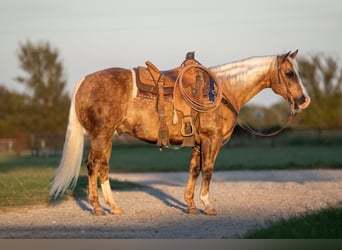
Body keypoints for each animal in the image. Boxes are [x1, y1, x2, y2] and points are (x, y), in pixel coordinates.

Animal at [50, 50, 310, 215]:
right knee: (94, 165)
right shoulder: (212, 140)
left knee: (102, 166)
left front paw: (191, 206)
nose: (304, 100)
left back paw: (112, 207)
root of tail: (84, 80)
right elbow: (208, 170)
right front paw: (207, 205)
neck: (223, 91)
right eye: (290, 73)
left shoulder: (197, 143)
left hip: (105, 137)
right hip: (101, 135)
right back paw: (98, 207)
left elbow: (194, 170)